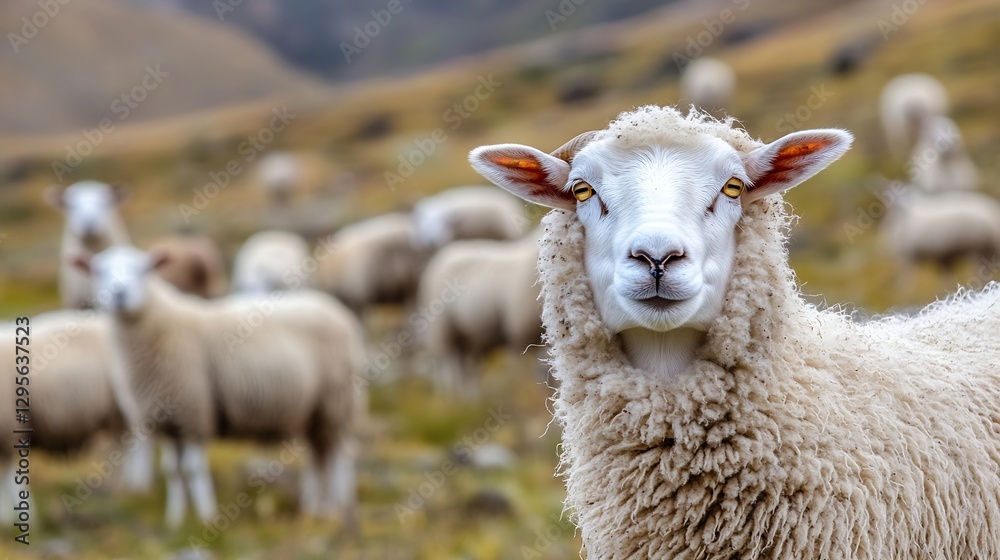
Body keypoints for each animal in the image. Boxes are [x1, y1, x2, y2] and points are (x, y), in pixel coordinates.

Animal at [75, 245, 365, 528]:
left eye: (144, 269)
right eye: (99, 271)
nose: (119, 294)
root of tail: (336, 310)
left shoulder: (193, 412)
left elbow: (192, 469)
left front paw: (206, 517)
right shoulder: (166, 422)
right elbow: (173, 471)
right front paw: (175, 520)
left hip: (337, 400)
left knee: (341, 455)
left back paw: (341, 508)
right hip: (315, 411)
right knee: (319, 456)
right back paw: (317, 509)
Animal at [419, 230, 544, 396]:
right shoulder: (518, 334)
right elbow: (523, 371)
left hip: (468, 337)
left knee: (467, 369)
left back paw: (471, 397)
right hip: (444, 330)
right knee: (450, 369)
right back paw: (452, 397)